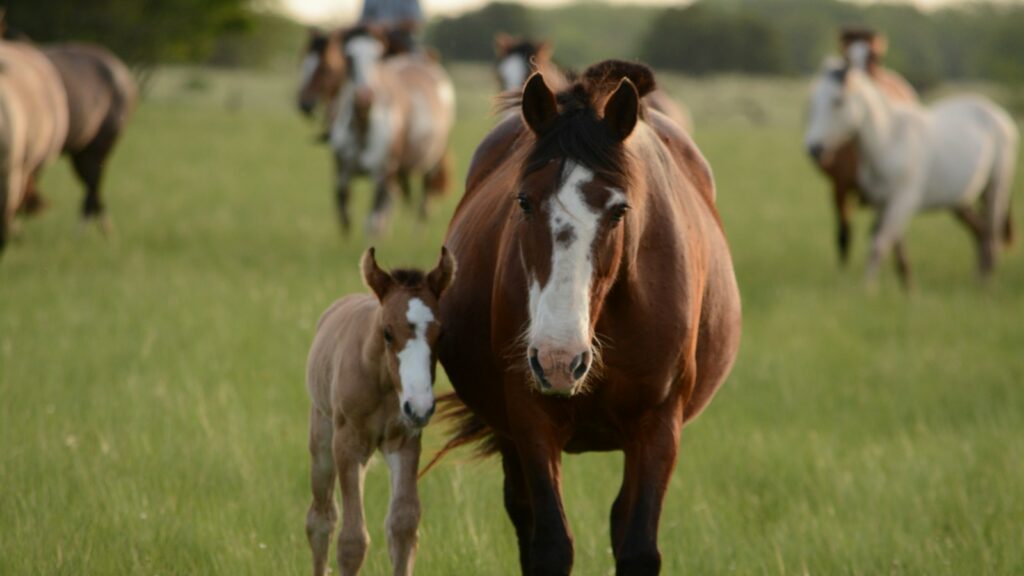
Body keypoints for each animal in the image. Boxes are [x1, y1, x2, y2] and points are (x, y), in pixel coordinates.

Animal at [305, 246, 456, 576]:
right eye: (387, 332)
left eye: (441, 335)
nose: (420, 406)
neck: (384, 384)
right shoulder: (348, 445)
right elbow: (351, 540)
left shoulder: (405, 442)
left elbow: (402, 526)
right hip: (323, 439)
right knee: (321, 519)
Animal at [329, 26, 455, 236]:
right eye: (348, 57)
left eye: (377, 57)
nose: (365, 97)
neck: (364, 127)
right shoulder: (342, 173)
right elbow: (345, 215)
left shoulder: (383, 175)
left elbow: (372, 222)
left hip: (431, 163)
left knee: (424, 203)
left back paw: (417, 234)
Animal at [429, 61, 742, 574]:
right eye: (523, 201)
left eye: (618, 210)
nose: (559, 359)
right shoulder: (530, 416)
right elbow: (551, 545)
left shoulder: (659, 424)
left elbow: (638, 546)